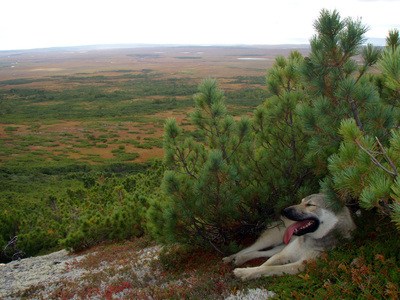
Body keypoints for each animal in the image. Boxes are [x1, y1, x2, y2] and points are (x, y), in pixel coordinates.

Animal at [222, 193, 356, 280]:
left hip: (280, 246)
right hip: (271, 240)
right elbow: (264, 265)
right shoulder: (283, 255)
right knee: (249, 249)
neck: (310, 240)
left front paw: (245, 273)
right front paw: (247, 271)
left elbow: (267, 268)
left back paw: (240, 259)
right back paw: (231, 258)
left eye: (310, 205)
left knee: (260, 252)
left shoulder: (299, 265)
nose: (284, 211)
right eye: (301, 201)